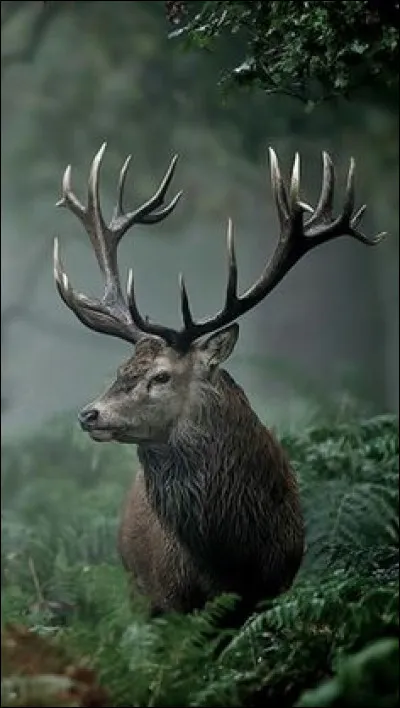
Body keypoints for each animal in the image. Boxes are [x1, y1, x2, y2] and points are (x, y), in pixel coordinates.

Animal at [52, 142, 385, 624]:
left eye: (161, 375)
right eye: (120, 369)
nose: (89, 414)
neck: (230, 558)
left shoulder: (275, 585)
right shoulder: (171, 597)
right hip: (137, 590)